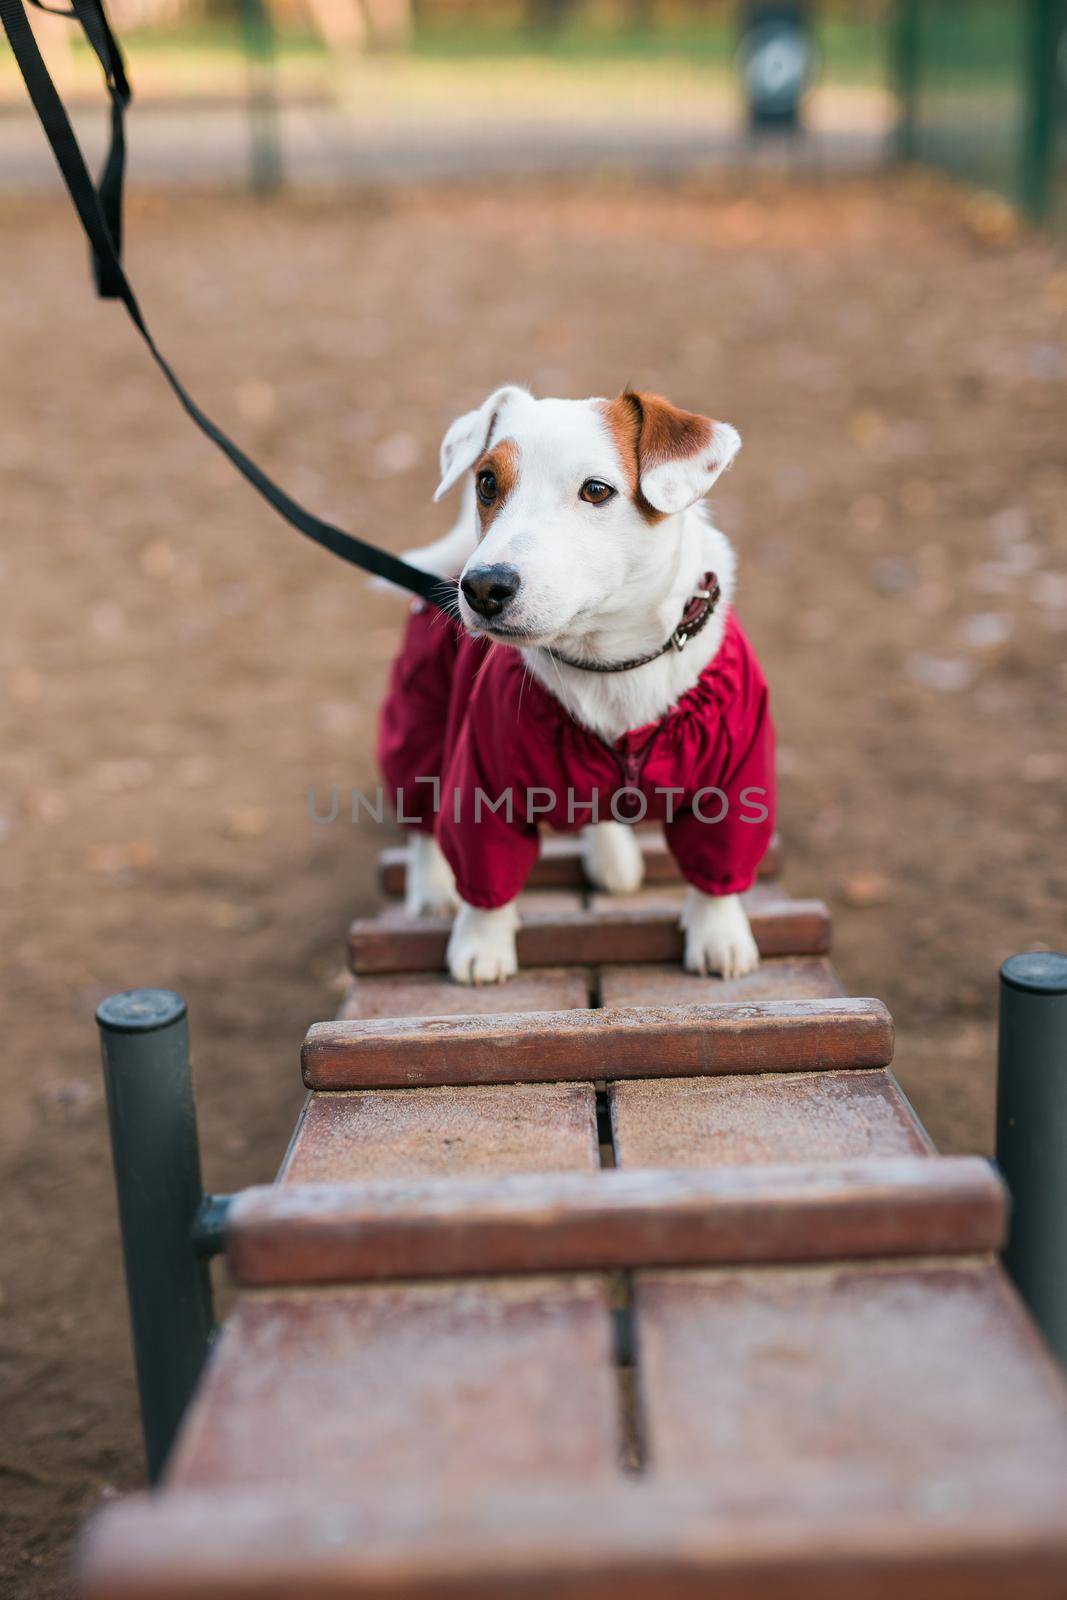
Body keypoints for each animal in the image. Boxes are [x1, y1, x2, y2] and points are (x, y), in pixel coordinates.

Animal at [377, 387, 777, 985]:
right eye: (487, 482)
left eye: (596, 490)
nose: (483, 586)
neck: (609, 664)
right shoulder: (482, 778)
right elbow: (483, 873)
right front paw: (481, 942)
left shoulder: (734, 780)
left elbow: (718, 867)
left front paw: (720, 934)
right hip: (421, 706)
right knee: (422, 813)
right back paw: (432, 887)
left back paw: (612, 858)